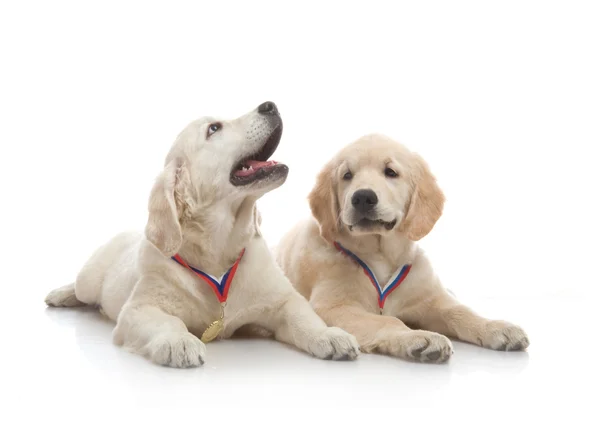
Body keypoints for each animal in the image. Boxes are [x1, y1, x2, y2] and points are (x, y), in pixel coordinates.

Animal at [45, 102, 360, 368]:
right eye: (214, 128)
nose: (270, 105)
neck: (218, 250)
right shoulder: (139, 309)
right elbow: (166, 322)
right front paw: (179, 342)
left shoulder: (282, 299)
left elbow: (303, 316)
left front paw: (330, 335)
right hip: (90, 278)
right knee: (80, 288)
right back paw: (61, 295)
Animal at [274, 134, 528, 360]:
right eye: (347, 175)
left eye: (391, 172)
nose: (362, 197)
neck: (381, 255)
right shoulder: (333, 306)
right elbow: (388, 320)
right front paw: (419, 338)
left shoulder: (427, 296)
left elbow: (459, 310)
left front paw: (496, 327)